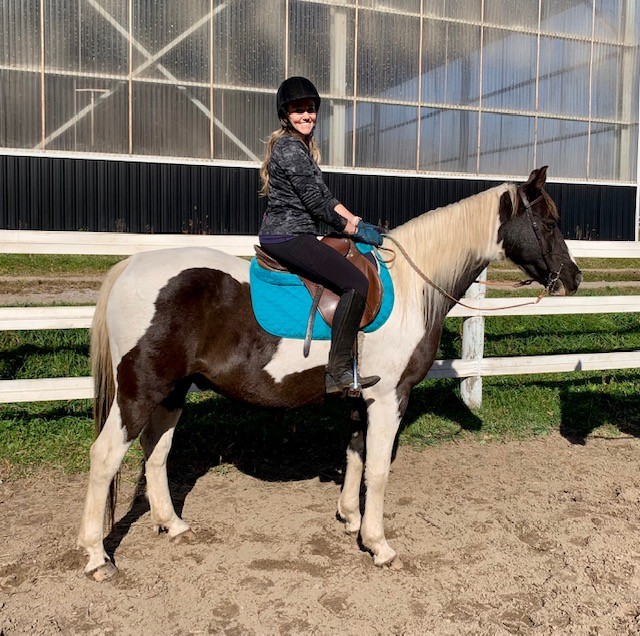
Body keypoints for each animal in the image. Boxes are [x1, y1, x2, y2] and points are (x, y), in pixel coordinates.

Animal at [77, 165, 584, 580]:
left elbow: (355, 455)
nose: (574, 278)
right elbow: (378, 469)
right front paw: (378, 545)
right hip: (140, 390)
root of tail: (129, 267)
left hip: (172, 391)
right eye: (549, 222)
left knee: (156, 452)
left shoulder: (363, 396)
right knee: (105, 456)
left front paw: (350, 519)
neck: (411, 288)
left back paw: (172, 524)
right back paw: (98, 556)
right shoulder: (390, 397)